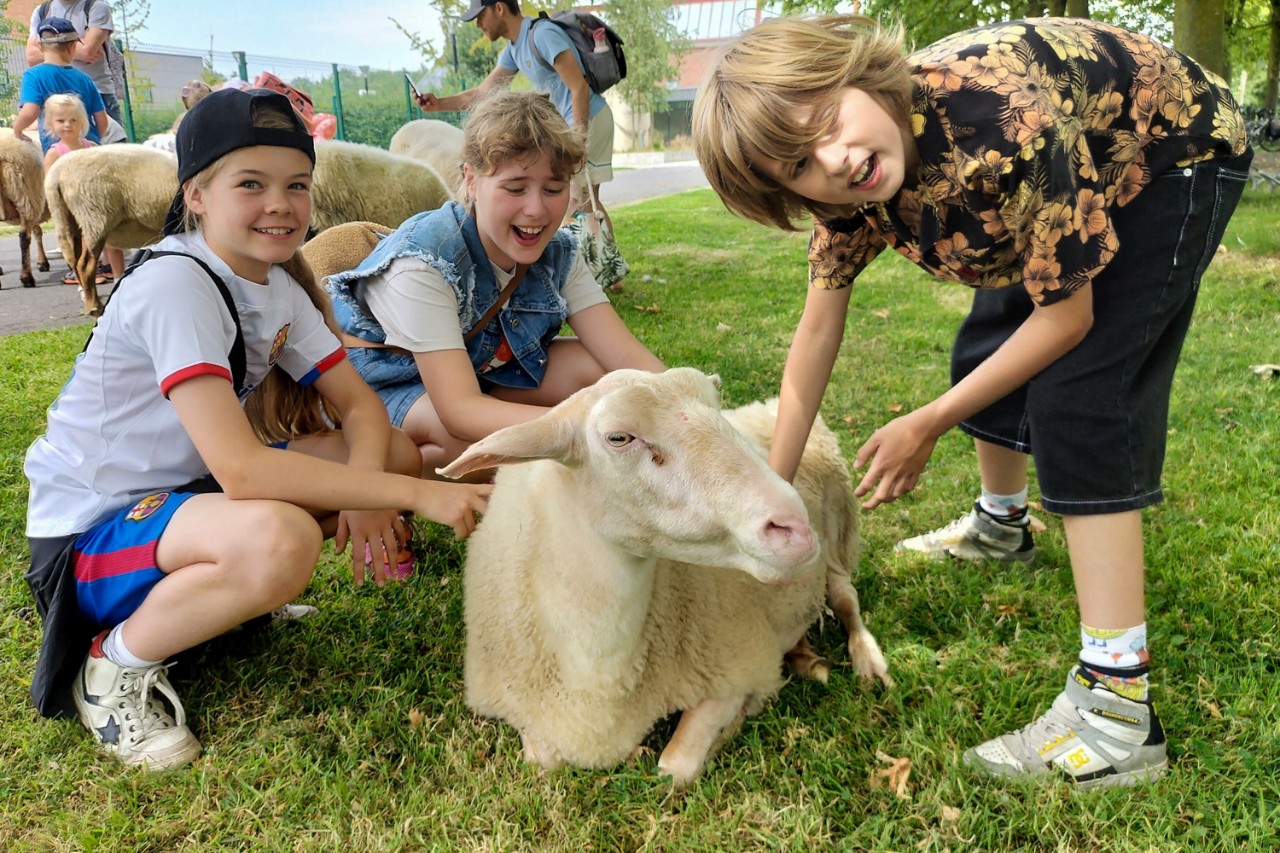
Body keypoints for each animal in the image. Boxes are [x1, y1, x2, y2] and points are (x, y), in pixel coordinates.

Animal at [44, 142, 177, 315]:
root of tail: (56, 174)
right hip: (94, 217)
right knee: (85, 265)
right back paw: (95, 307)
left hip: (68, 219)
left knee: (74, 260)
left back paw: (89, 301)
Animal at [440, 366, 890, 783]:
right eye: (619, 438)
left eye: (717, 407)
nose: (794, 526)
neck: (599, 676)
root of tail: (773, 404)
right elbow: (542, 761)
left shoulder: (740, 666)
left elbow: (674, 767)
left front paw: (735, 725)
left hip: (836, 536)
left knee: (846, 598)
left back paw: (867, 659)